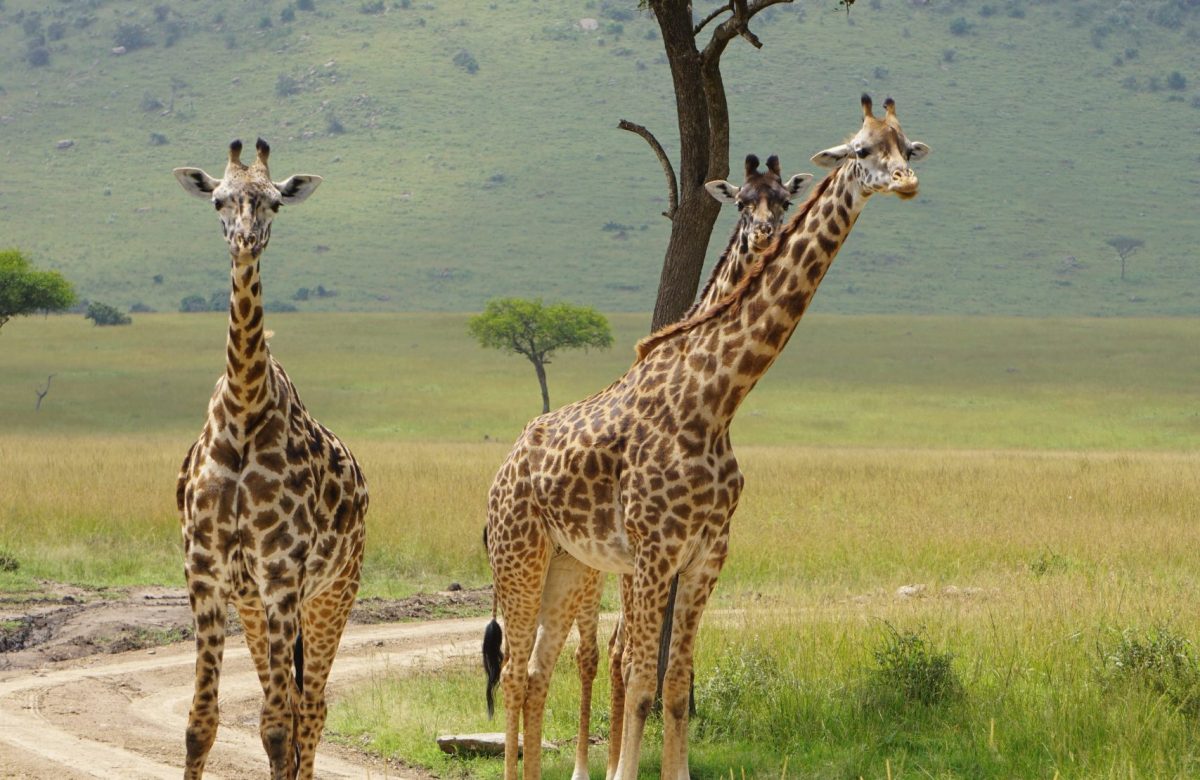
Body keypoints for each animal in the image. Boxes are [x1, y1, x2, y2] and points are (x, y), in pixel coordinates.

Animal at [172, 138, 368, 780]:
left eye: (274, 203)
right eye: (219, 200)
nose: (245, 239)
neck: (242, 411)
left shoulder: (283, 575)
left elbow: (280, 727)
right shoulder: (207, 574)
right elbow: (200, 725)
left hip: (334, 591)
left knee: (312, 707)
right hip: (255, 604)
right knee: (289, 702)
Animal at [482, 95, 928, 780]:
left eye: (906, 145)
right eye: (861, 150)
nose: (906, 182)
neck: (715, 404)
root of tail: (503, 469)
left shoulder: (706, 557)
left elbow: (676, 687)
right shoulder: (651, 555)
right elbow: (639, 679)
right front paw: (620, 771)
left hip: (568, 563)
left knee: (535, 671)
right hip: (520, 556)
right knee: (512, 672)